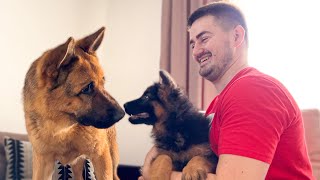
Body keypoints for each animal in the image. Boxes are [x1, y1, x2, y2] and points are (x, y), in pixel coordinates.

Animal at [22, 27, 124, 180]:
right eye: (87, 88)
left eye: (103, 82)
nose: (122, 114)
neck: (62, 129)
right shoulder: (43, 162)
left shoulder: (101, 156)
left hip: (111, 159)